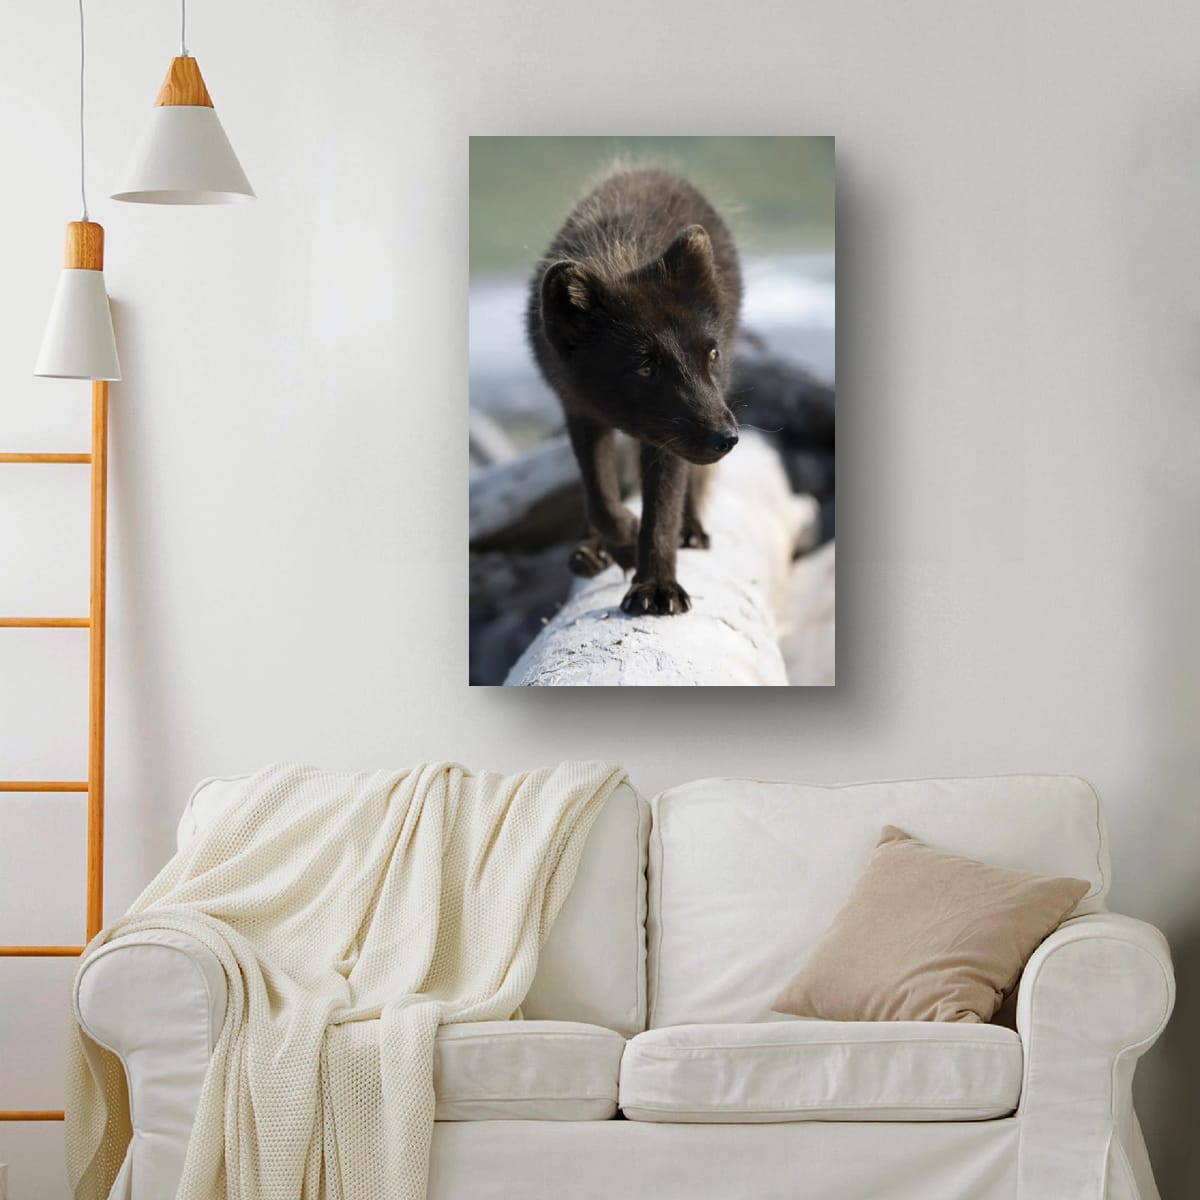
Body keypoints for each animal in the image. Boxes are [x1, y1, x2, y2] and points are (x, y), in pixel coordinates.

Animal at [526, 167, 743, 616]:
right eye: (646, 366)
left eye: (711, 353)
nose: (728, 439)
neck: (624, 253)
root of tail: (654, 169)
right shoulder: (579, 411)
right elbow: (600, 498)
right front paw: (624, 539)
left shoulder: (669, 437)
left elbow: (662, 510)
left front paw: (657, 586)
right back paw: (593, 547)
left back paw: (691, 529)